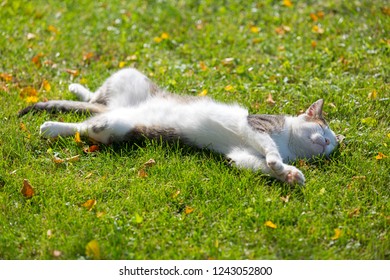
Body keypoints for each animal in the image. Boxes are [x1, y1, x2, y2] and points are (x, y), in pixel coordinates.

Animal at [17, 67, 338, 186]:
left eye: (332, 145)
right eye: (324, 130)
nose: (327, 144)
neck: (289, 143)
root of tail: (115, 110)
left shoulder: (240, 154)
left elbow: (253, 163)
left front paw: (290, 174)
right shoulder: (256, 126)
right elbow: (269, 149)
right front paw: (278, 162)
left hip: (114, 128)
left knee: (86, 123)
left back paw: (54, 125)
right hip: (129, 76)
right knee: (90, 106)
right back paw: (61, 110)